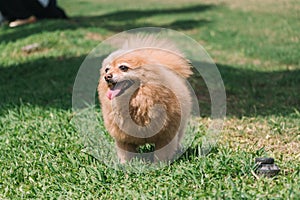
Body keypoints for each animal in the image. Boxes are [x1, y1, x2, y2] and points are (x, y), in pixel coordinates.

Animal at [98, 34, 192, 162]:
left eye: (123, 67)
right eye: (107, 70)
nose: (107, 77)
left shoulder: (165, 135)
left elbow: (161, 155)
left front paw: (159, 164)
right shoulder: (123, 138)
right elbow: (126, 155)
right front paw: (125, 164)